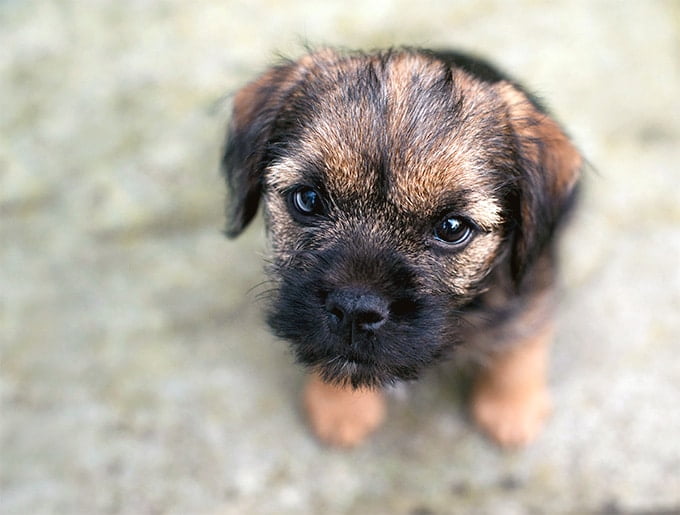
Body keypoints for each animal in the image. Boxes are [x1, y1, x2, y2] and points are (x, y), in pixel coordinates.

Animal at [220, 50, 580, 450]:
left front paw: (511, 410)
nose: (354, 309)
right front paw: (340, 407)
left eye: (452, 228)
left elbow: (521, 345)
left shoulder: (533, 287)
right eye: (308, 200)